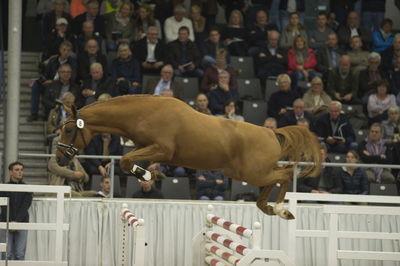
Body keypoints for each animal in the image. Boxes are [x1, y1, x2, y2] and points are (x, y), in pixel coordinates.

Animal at [55, 94, 322, 219]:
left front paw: (147, 175)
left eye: (68, 130)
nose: (59, 158)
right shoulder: (149, 148)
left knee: (285, 174)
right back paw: (268, 208)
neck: (142, 112)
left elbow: (125, 160)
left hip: (253, 171)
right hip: (245, 172)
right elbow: (129, 160)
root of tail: (271, 132)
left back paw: (281, 210)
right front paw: (152, 174)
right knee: (274, 180)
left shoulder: (162, 148)